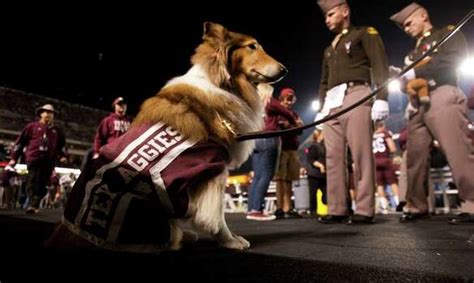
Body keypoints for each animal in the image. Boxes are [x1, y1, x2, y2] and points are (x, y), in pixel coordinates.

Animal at [46, 22, 286, 253]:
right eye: (252, 46)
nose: (285, 69)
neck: (221, 82)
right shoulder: (214, 169)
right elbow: (217, 216)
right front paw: (230, 241)